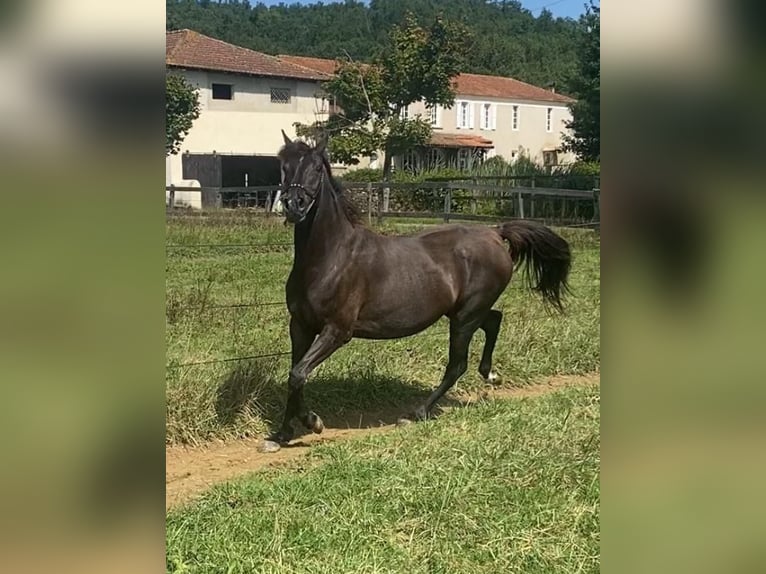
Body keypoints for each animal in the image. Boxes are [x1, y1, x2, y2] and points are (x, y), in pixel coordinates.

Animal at [268, 133, 572, 448]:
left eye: (316, 167)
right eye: (284, 165)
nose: (293, 205)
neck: (331, 258)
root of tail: (494, 233)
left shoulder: (337, 330)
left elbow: (298, 374)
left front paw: (312, 422)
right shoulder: (300, 326)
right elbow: (295, 375)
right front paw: (283, 434)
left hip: (465, 317)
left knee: (457, 364)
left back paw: (417, 412)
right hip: (464, 312)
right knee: (494, 320)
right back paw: (491, 375)